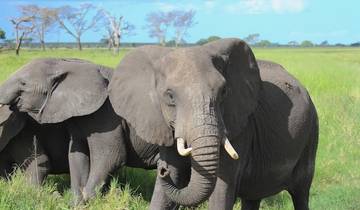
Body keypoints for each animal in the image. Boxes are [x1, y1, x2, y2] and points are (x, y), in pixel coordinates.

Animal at [0, 58, 160, 204]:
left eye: (23, 83)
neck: (64, 64)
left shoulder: (107, 114)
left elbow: (111, 156)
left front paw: (88, 200)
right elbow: (77, 154)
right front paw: (75, 204)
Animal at [109, 38, 318, 210]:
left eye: (224, 91)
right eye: (169, 96)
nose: (161, 169)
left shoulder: (240, 126)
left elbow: (221, 188)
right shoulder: (161, 122)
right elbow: (171, 182)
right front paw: (169, 170)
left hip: (311, 132)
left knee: (301, 191)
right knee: (252, 197)